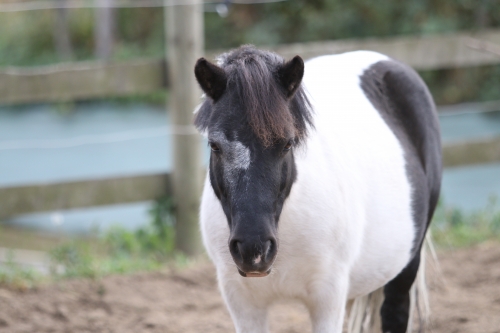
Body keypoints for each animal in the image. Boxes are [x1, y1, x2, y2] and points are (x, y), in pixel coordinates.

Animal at [193, 44, 440, 332]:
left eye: (287, 144)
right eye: (214, 145)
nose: (253, 250)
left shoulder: (328, 298)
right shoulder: (243, 303)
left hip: (406, 265)